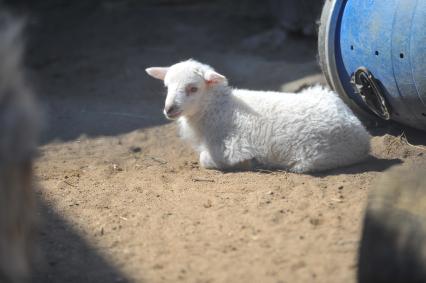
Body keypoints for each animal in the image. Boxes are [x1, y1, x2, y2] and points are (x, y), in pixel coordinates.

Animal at [146, 60, 370, 173]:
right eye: (166, 86)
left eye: (193, 88)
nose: (169, 109)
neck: (216, 108)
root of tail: (362, 133)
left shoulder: (229, 149)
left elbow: (204, 159)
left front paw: (247, 163)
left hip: (310, 159)